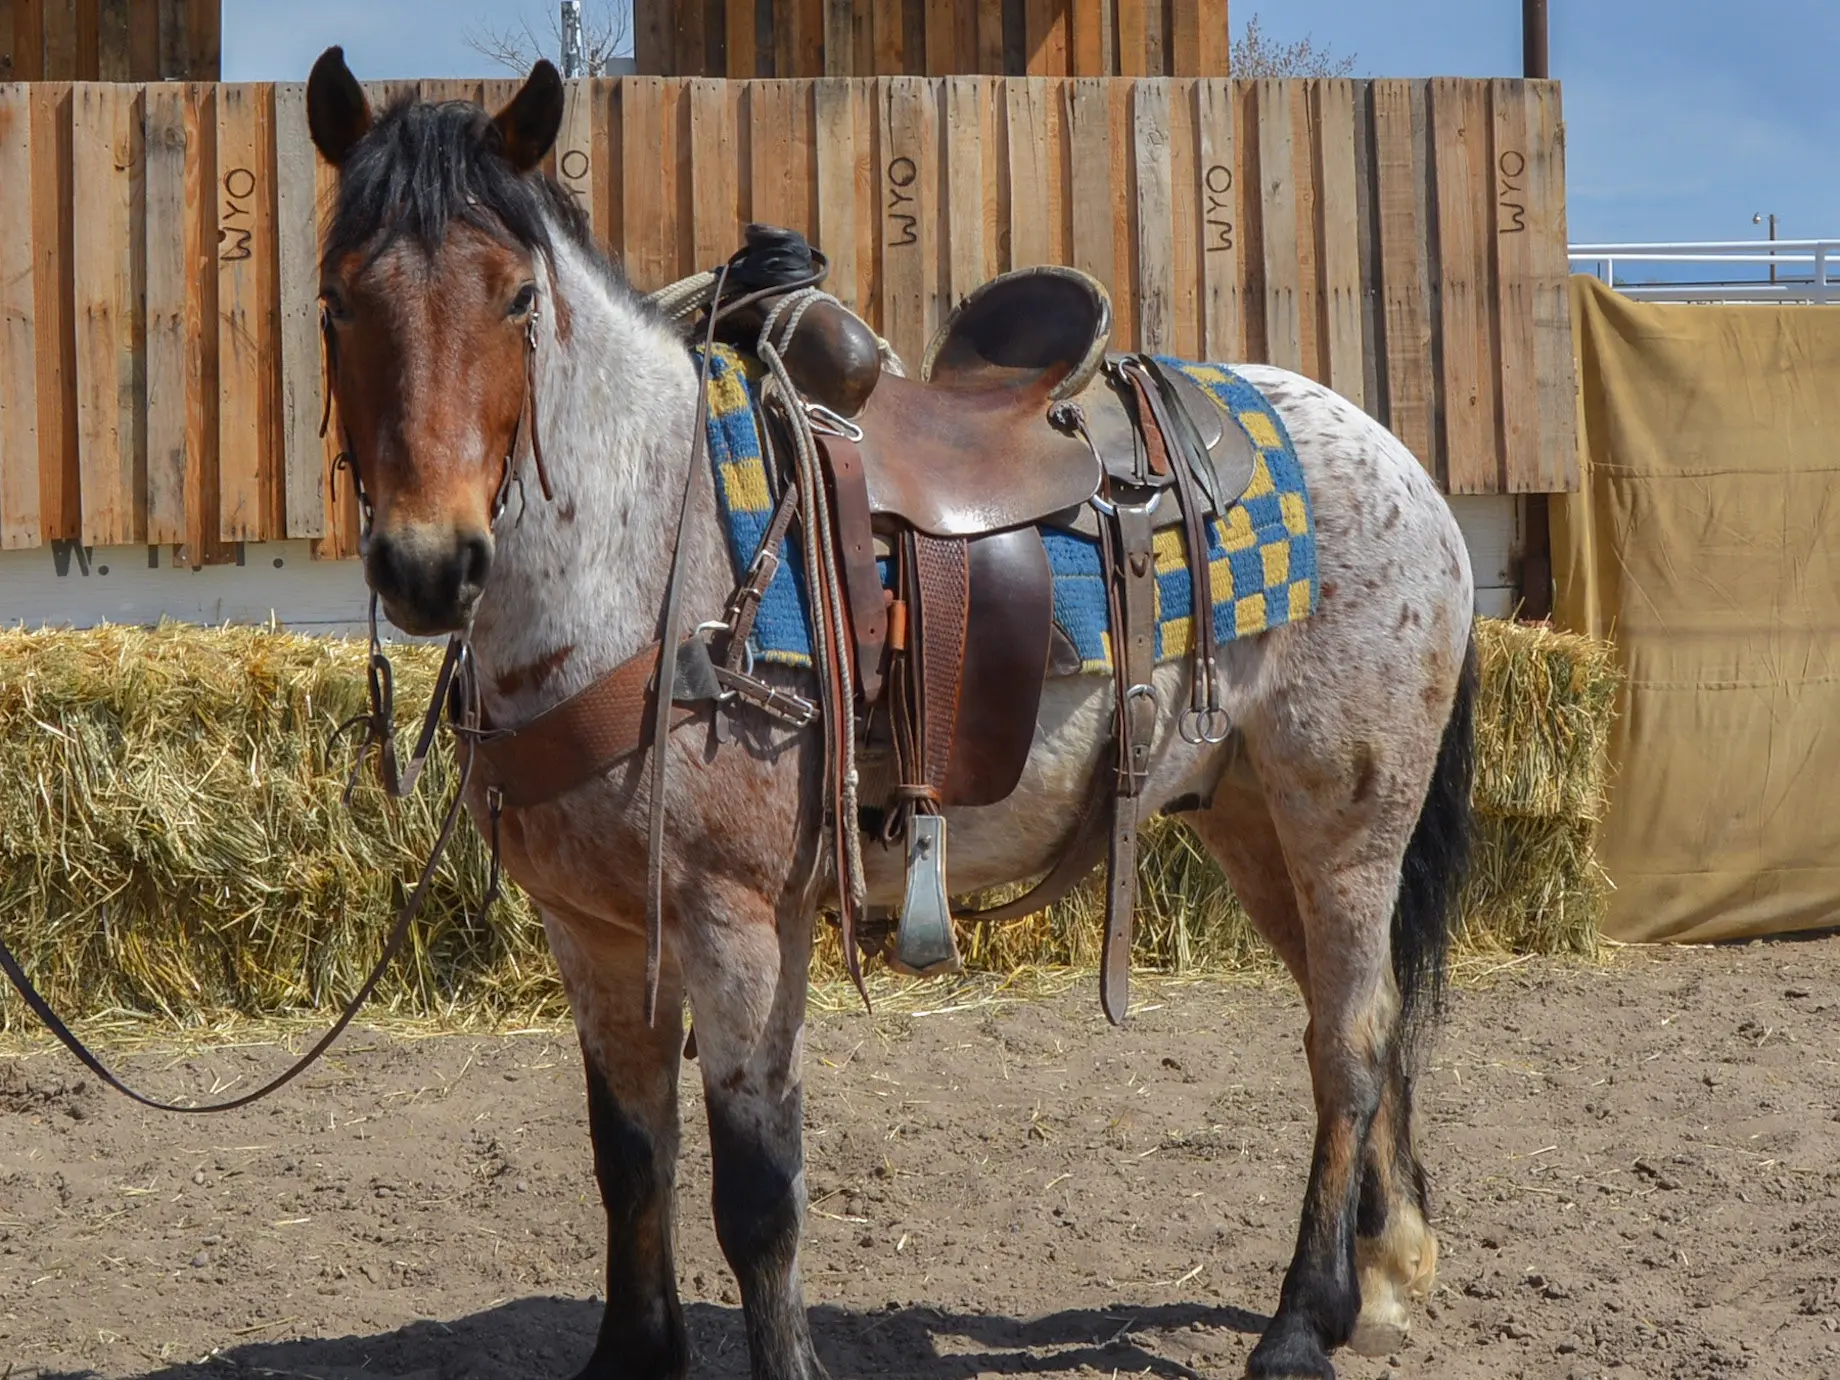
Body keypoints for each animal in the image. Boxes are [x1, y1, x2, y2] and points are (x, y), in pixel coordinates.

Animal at [301, 46, 1479, 1380]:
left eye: (513, 299)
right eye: (336, 300)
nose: (428, 563)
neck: (647, 544)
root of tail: (1402, 464)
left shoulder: (740, 923)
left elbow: (757, 1195)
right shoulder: (592, 930)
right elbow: (631, 1161)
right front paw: (631, 1354)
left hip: (1346, 823)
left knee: (1348, 1040)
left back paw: (1296, 1324)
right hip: (1247, 820)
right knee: (1358, 1018)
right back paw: (1374, 1276)